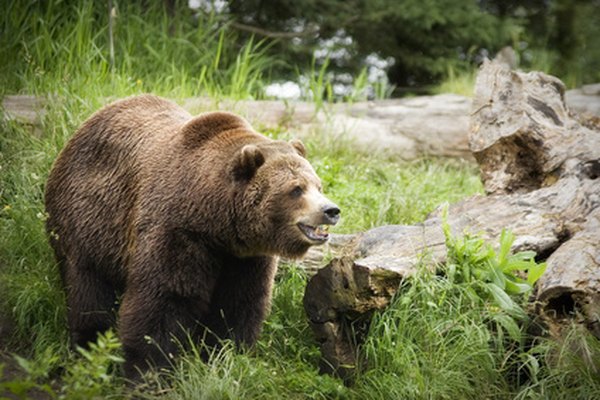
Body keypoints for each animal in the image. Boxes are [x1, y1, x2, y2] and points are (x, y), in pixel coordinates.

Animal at [44, 94, 340, 378]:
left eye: (318, 185)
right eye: (296, 189)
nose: (331, 210)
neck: (216, 221)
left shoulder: (244, 257)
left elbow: (238, 304)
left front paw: (225, 356)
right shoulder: (177, 231)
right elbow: (164, 299)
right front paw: (149, 370)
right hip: (87, 222)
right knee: (88, 290)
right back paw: (88, 345)